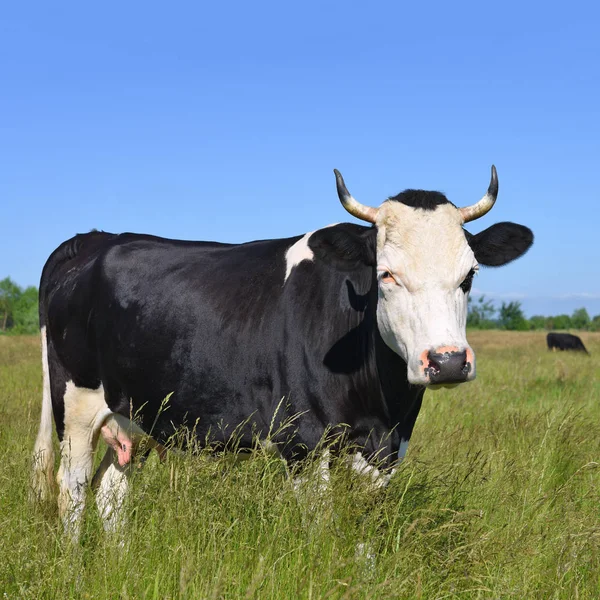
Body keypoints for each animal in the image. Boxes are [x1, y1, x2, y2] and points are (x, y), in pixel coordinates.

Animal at [30, 165, 532, 536]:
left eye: (469, 275)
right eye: (386, 273)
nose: (447, 361)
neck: (380, 406)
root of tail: (94, 240)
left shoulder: (382, 452)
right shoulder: (304, 443)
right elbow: (322, 532)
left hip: (135, 414)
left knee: (111, 493)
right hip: (76, 407)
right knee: (71, 491)